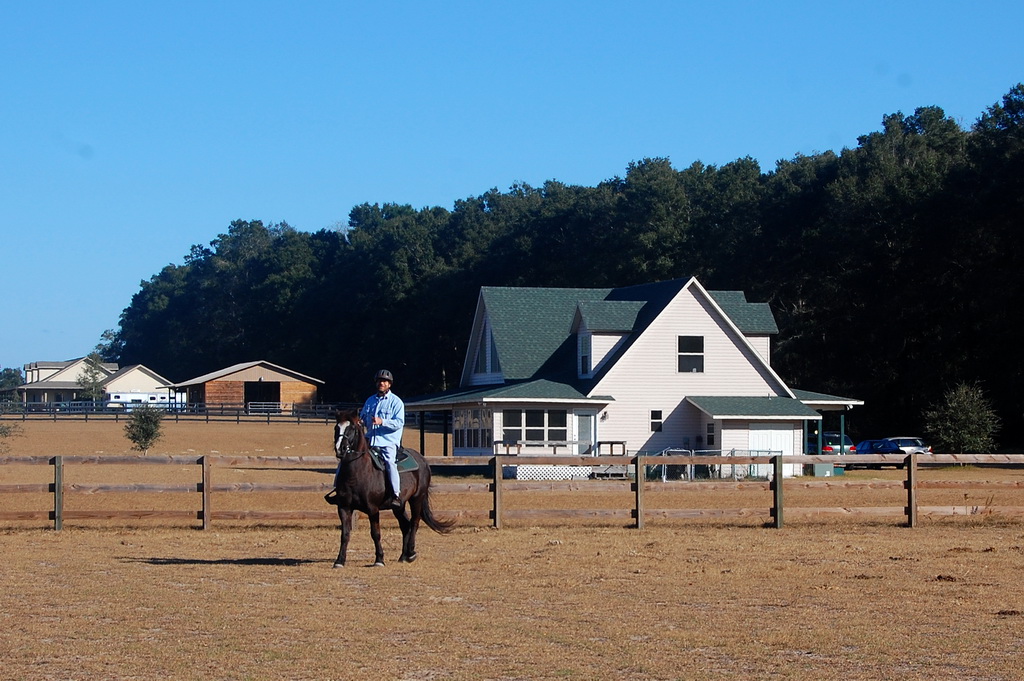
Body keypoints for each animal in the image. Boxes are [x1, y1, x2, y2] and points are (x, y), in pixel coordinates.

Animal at [327, 405, 456, 565]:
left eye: (352, 428)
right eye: (336, 427)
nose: (340, 449)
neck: (356, 474)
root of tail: (422, 460)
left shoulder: (373, 509)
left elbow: (375, 533)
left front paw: (379, 559)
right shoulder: (344, 508)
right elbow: (345, 534)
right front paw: (339, 561)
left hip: (417, 498)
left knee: (414, 523)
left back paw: (411, 553)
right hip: (399, 506)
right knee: (405, 525)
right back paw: (403, 556)